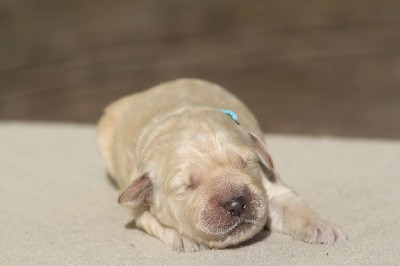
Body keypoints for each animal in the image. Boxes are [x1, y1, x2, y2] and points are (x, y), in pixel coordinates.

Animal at [97, 77, 346, 251]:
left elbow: (293, 205)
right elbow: (155, 222)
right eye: (188, 185)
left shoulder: (270, 185)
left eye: (246, 163)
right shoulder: (139, 210)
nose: (236, 204)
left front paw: (323, 226)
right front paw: (183, 237)